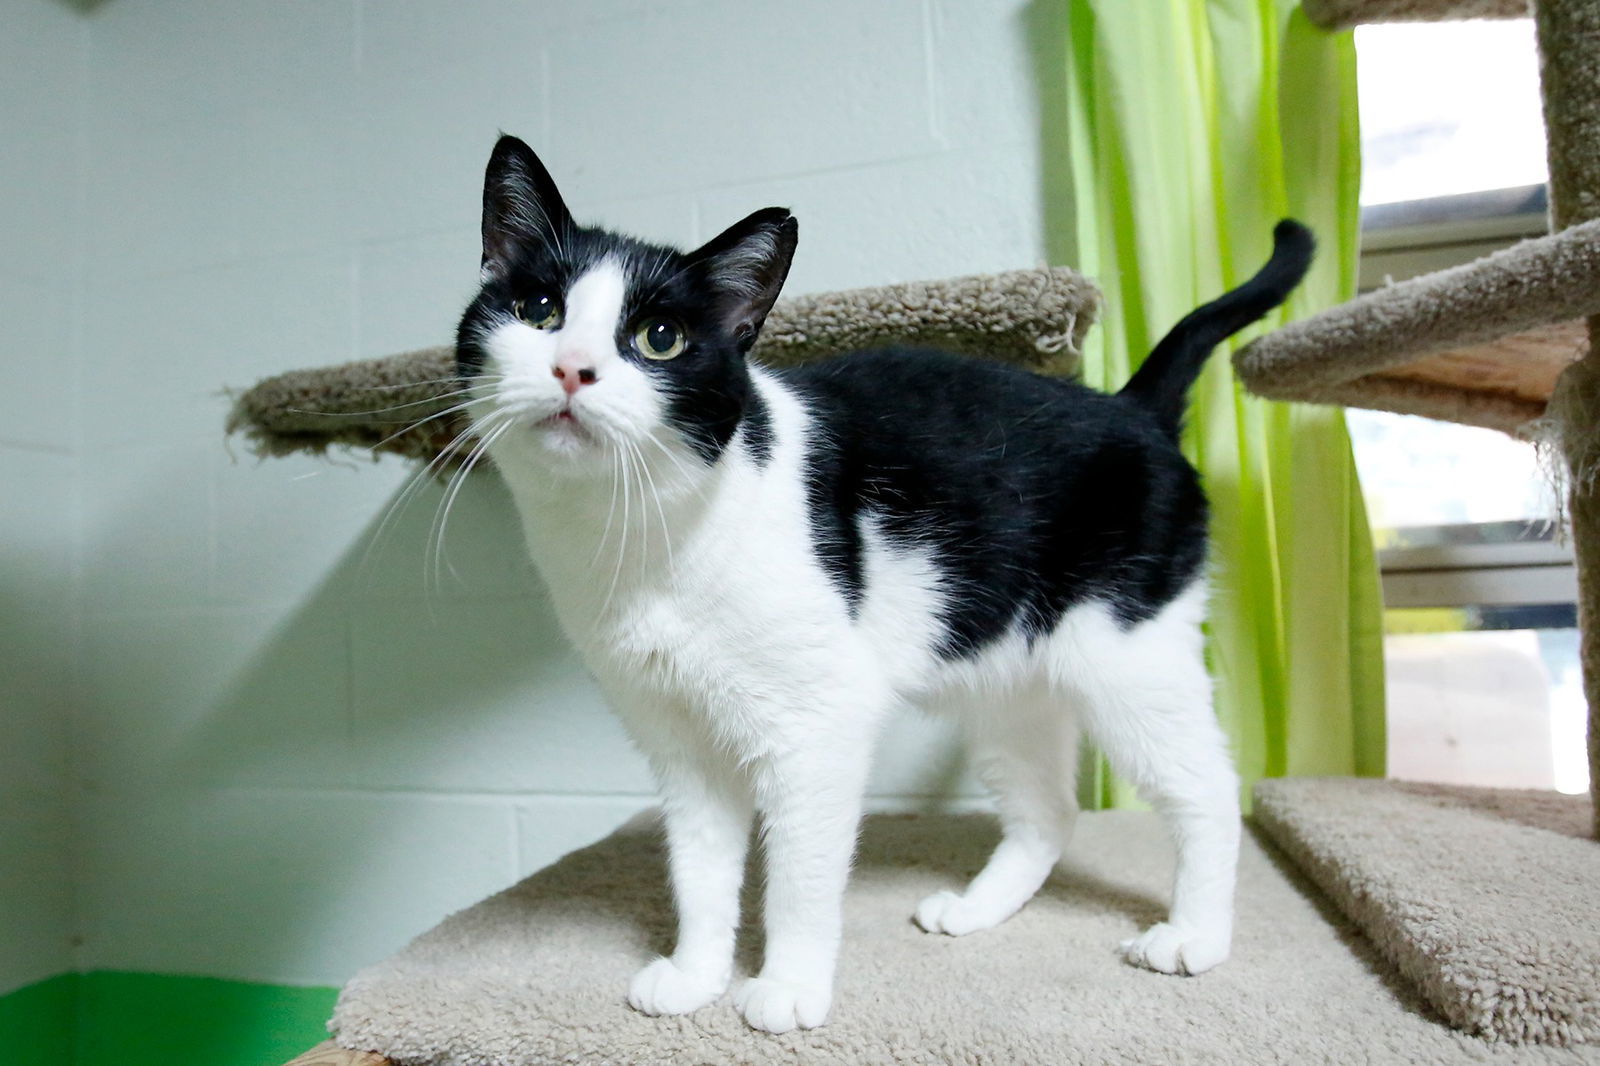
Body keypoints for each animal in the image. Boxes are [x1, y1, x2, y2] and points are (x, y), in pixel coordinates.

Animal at [451, 132, 1312, 1030]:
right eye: (539, 309)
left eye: (659, 338)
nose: (573, 368)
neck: (642, 538)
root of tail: (1133, 408)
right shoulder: (679, 741)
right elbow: (699, 868)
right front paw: (694, 975)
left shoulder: (818, 727)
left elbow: (797, 876)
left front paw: (787, 987)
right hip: (1007, 682)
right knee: (1050, 808)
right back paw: (976, 909)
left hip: (1128, 659)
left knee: (1209, 788)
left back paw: (1195, 936)